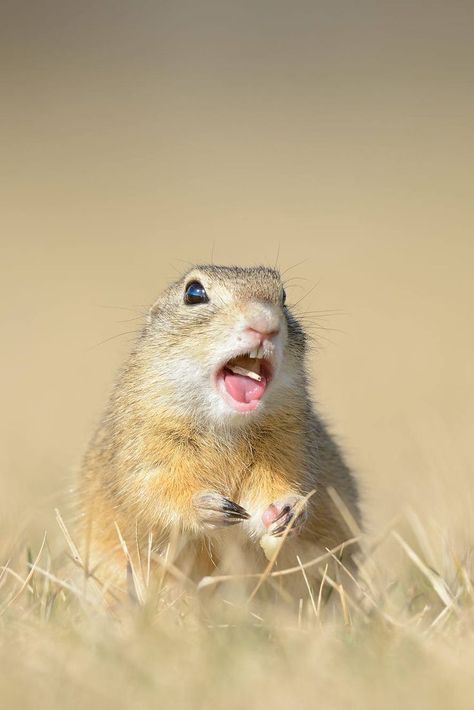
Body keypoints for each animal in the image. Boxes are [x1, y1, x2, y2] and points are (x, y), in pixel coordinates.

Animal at [78, 264, 362, 596]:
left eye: (283, 297)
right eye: (194, 293)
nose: (265, 325)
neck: (226, 427)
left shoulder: (290, 443)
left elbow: (275, 487)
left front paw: (288, 510)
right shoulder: (145, 441)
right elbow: (153, 489)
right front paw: (207, 506)